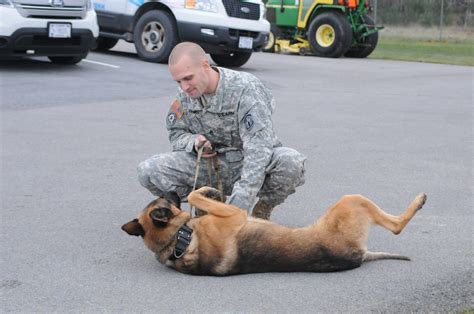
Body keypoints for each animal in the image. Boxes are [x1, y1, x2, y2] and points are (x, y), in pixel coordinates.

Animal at [121, 186, 426, 274]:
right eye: (164, 199)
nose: (174, 191)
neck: (178, 240)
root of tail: (359, 255)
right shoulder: (235, 214)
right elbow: (197, 196)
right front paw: (205, 190)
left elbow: (199, 198)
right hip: (351, 201)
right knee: (396, 226)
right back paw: (419, 201)